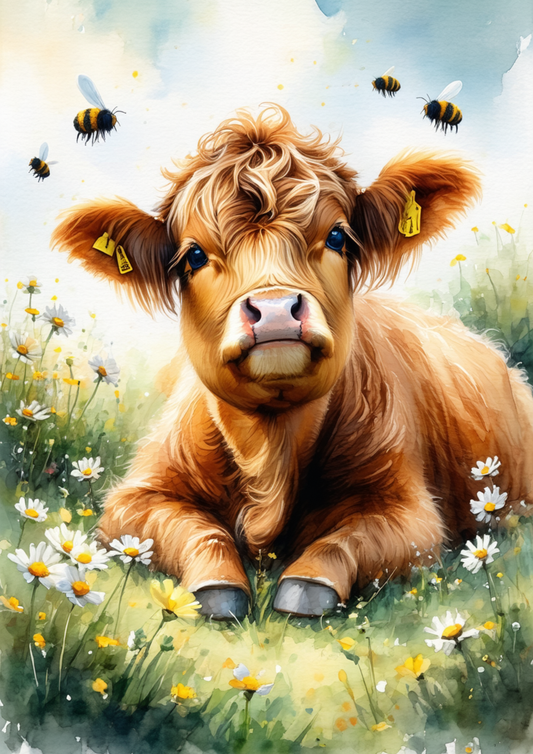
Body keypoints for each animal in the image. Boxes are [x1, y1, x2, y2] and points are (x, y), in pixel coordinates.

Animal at [52, 105, 533, 619]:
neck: (271, 449)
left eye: (338, 236)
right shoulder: (134, 499)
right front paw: (218, 586)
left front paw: (307, 583)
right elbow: (199, 531)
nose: (276, 309)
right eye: (194, 255)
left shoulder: (412, 512)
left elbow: (344, 540)